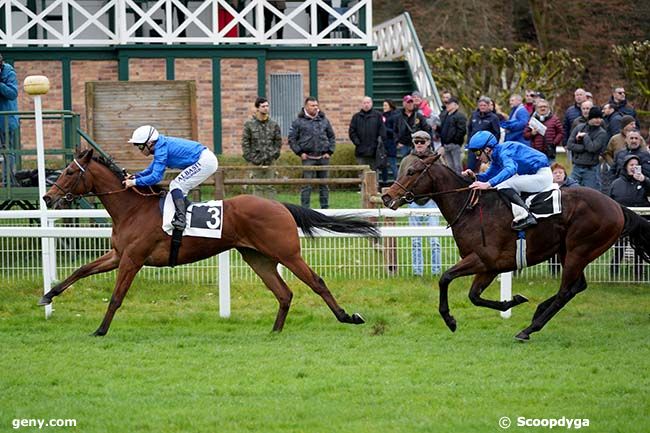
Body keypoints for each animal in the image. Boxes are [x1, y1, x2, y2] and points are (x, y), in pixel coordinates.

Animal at [40, 150, 378, 336]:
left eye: (68, 172)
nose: (47, 197)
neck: (132, 209)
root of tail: (280, 205)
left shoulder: (132, 259)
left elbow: (116, 297)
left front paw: (100, 330)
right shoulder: (117, 254)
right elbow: (81, 270)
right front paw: (48, 295)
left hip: (286, 253)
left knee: (316, 282)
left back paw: (347, 317)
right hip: (257, 256)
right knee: (284, 292)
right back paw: (274, 331)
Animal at [380, 154, 648, 340]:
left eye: (411, 171)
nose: (386, 196)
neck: (470, 208)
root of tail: (616, 206)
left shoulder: (482, 259)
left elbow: (445, 278)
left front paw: (449, 319)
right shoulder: (489, 267)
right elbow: (474, 296)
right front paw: (513, 301)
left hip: (579, 250)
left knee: (565, 291)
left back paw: (529, 329)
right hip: (568, 251)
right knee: (577, 286)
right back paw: (538, 311)